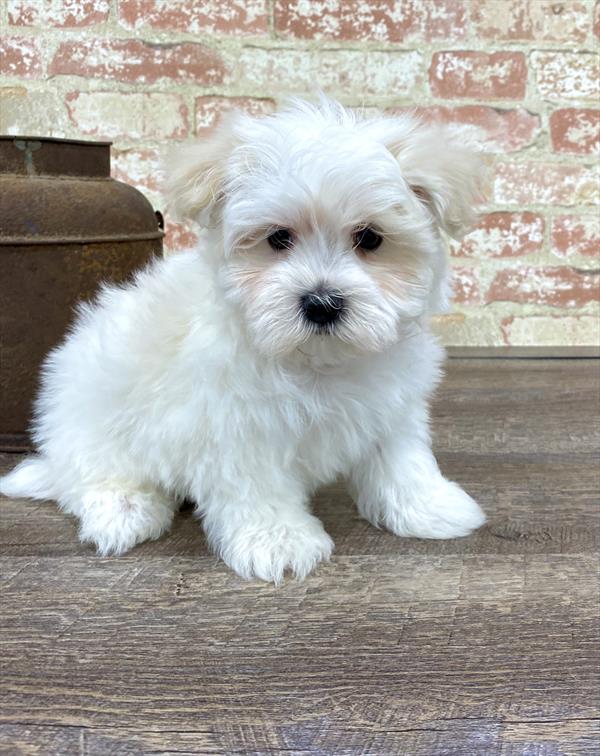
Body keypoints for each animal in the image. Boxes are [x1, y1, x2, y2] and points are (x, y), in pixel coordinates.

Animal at [0, 99, 488, 584]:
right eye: (278, 238)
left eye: (370, 237)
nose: (321, 303)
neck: (316, 360)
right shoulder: (236, 426)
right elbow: (258, 485)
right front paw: (278, 540)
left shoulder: (391, 405)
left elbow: (400, 460)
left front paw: (428, 507)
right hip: (95, 423)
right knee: (92, 476)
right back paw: (123, 509)